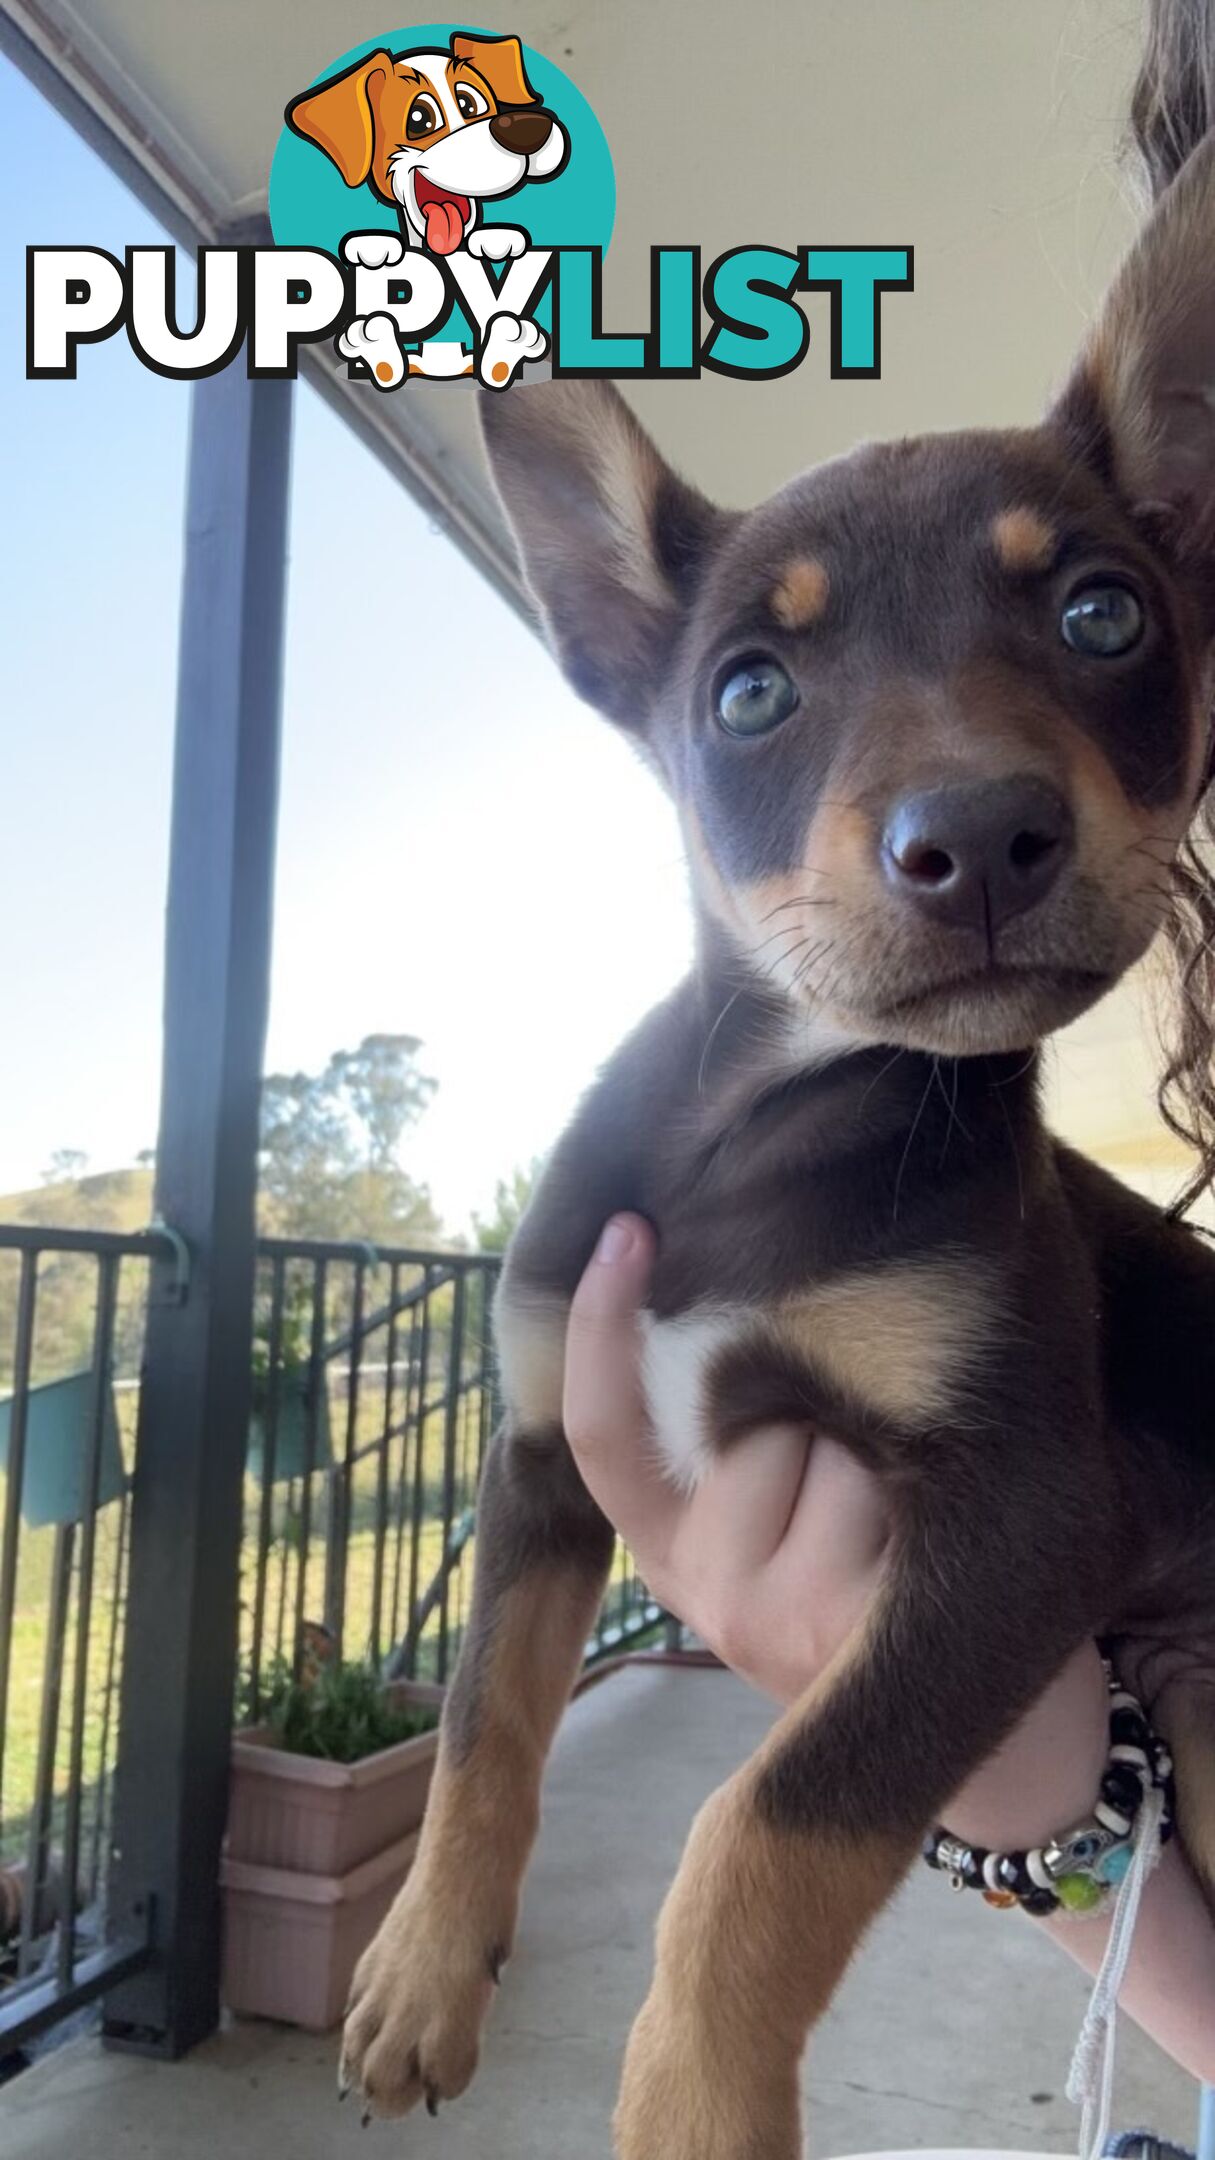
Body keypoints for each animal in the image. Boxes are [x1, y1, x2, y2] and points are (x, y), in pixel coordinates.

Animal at [335, 8, 1210, 2151]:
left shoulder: (1017, 1517)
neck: (772, 1115)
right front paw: (420, 1971)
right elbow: (479, 1725)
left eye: (1102, 612)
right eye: (746, 691)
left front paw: (693, 2098)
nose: (977, 839)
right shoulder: (541, 1450)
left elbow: (766, 1820)